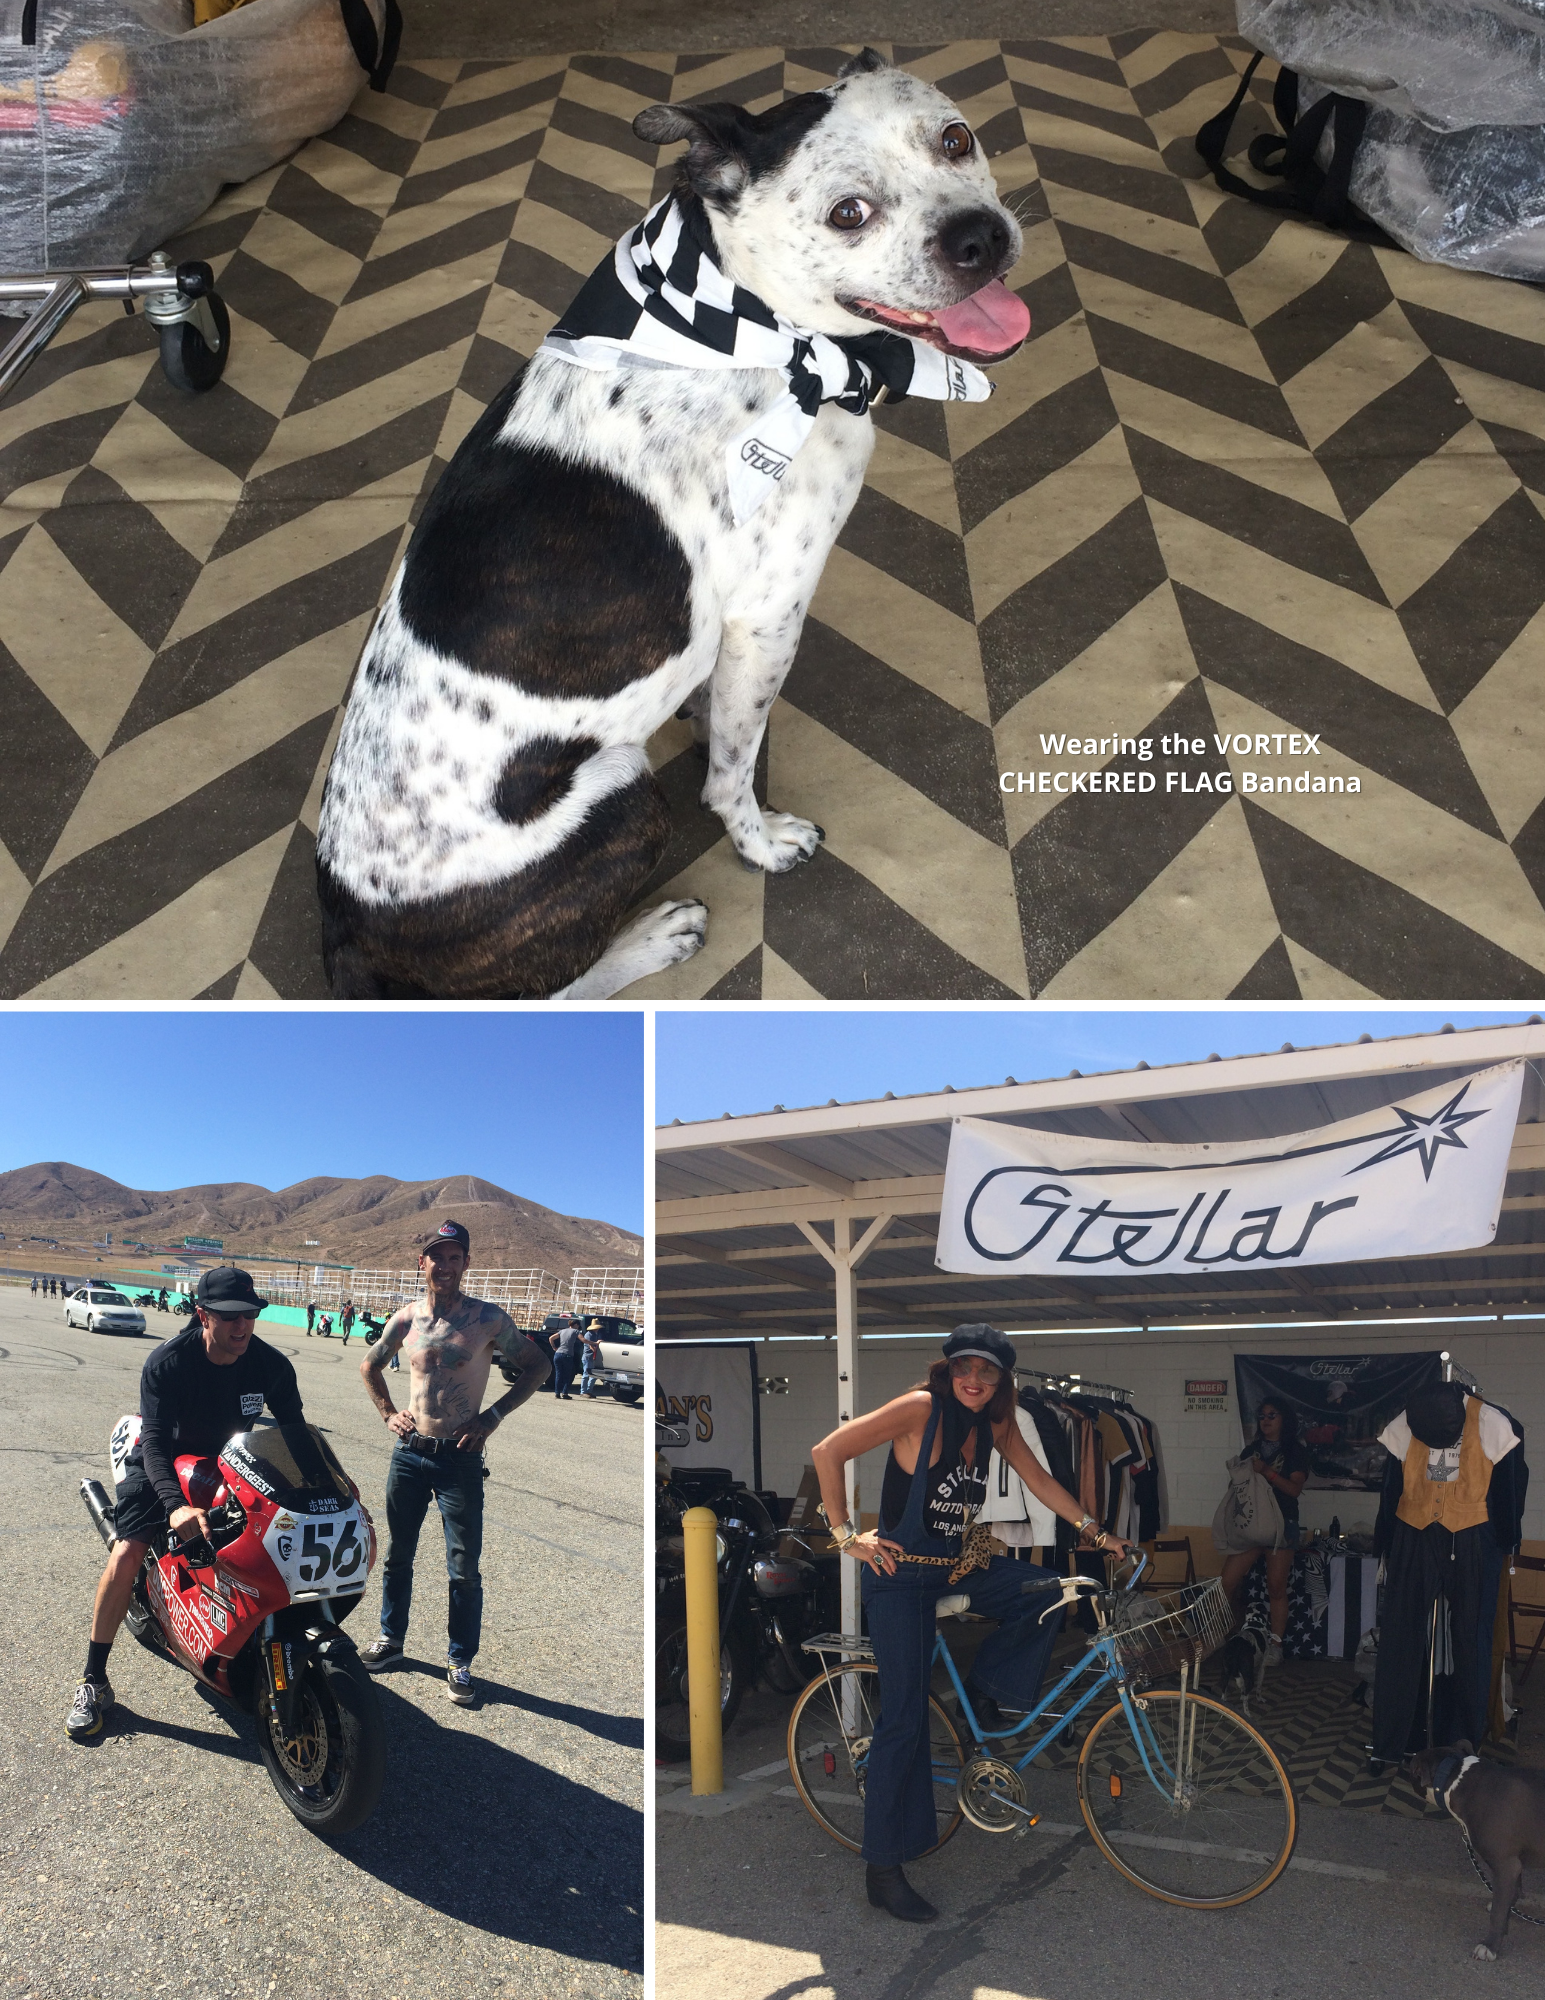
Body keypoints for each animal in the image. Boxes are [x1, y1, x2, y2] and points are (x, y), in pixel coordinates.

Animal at [316, 50, 1032, 1000]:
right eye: (848, 213)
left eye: (955, 139)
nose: (978, 236)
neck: (751, 328)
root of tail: (346, 935)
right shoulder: (768, 617)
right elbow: (732, 773)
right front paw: (761, 841)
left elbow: (718, 715)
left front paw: (701, 715)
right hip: (619, 791)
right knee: (559, 988)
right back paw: (653, 938)